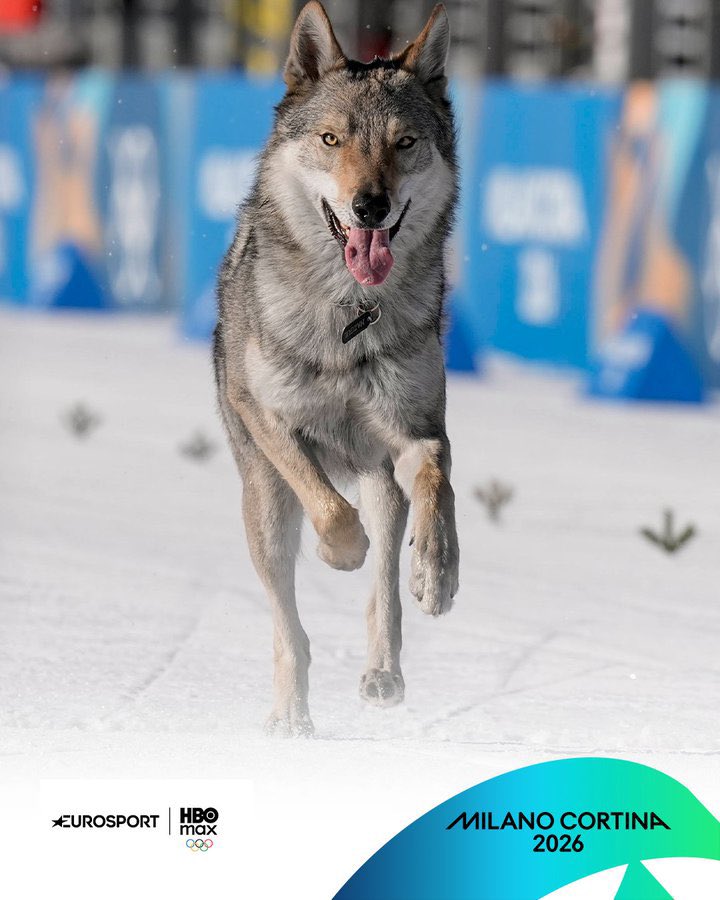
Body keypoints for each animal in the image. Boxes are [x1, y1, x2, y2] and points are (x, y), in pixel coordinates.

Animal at [214, 1, 459, 736]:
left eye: (404, 143)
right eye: (331, 139)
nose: (369, 206)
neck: (349, 314)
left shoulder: (418, 431)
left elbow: (438, 486)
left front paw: (438, 572)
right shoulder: (269, 418)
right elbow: (328, 509)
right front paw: (336, 553)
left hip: (380, 482)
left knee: (384, 593)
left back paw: (383, 673)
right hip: (264, 508)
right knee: (290, 630)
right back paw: (291, 719)